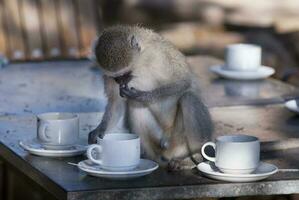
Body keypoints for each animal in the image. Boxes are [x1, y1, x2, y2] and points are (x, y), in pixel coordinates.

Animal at [88, 24, 214, 170]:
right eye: (117, 78)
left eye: (126, 74)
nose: (121, 83)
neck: (141, 62)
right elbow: (116, 103)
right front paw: (99, 130)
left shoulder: (161, 55)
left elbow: (184, 81)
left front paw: (144, 96)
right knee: (134, 104)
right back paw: (151, 156)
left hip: (178, 140)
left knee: (189, 98)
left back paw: (193, 155)